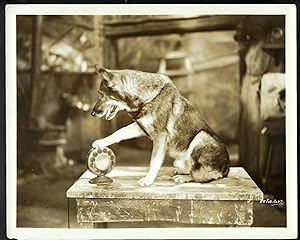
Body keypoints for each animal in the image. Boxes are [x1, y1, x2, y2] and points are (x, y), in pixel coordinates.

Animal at [90, 65, 229, 188]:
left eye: (101, 94)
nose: (92, 113)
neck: (146, 97)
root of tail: (226, 168)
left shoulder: (160, 135)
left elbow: (154, 161)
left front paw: (148, 180)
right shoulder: (140, 127)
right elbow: (119, 132)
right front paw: (101, 142)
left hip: (201, 135)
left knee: (203, 175)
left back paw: (184, 177)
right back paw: (182, 171)